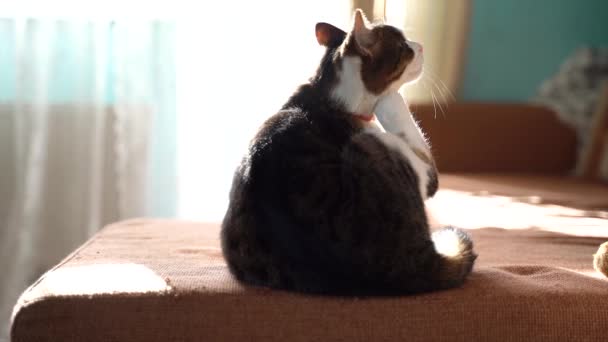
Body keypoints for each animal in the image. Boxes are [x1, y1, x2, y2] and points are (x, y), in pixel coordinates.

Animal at [221, 9, 478, 296]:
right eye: (404, 47)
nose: (421, 46)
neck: (329, 97)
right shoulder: (415, 161)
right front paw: (390, 98)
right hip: (375, 144)